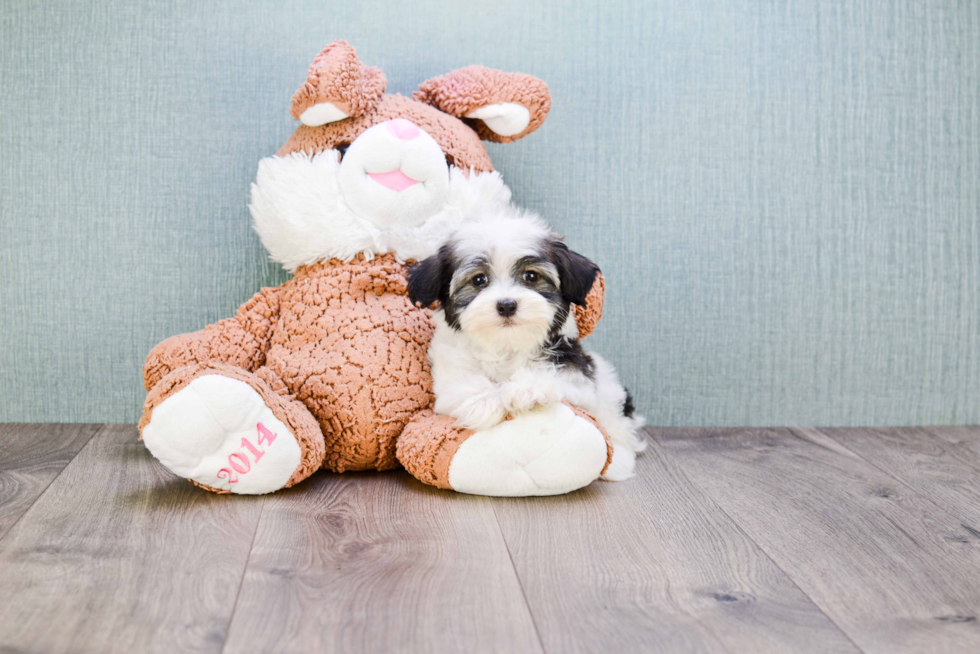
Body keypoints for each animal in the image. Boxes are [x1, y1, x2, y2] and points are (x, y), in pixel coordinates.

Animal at [410, 210, 648, 482]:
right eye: (479, 279)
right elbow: (463, 383)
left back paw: (618, 462)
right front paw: (485, 402)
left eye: (531, 276)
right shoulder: (450, 367)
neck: (507, 345)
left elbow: (557, 378)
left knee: (619, 425)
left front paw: (526, 388)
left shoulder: (578, 379)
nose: (506, 305)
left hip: (610, 389)